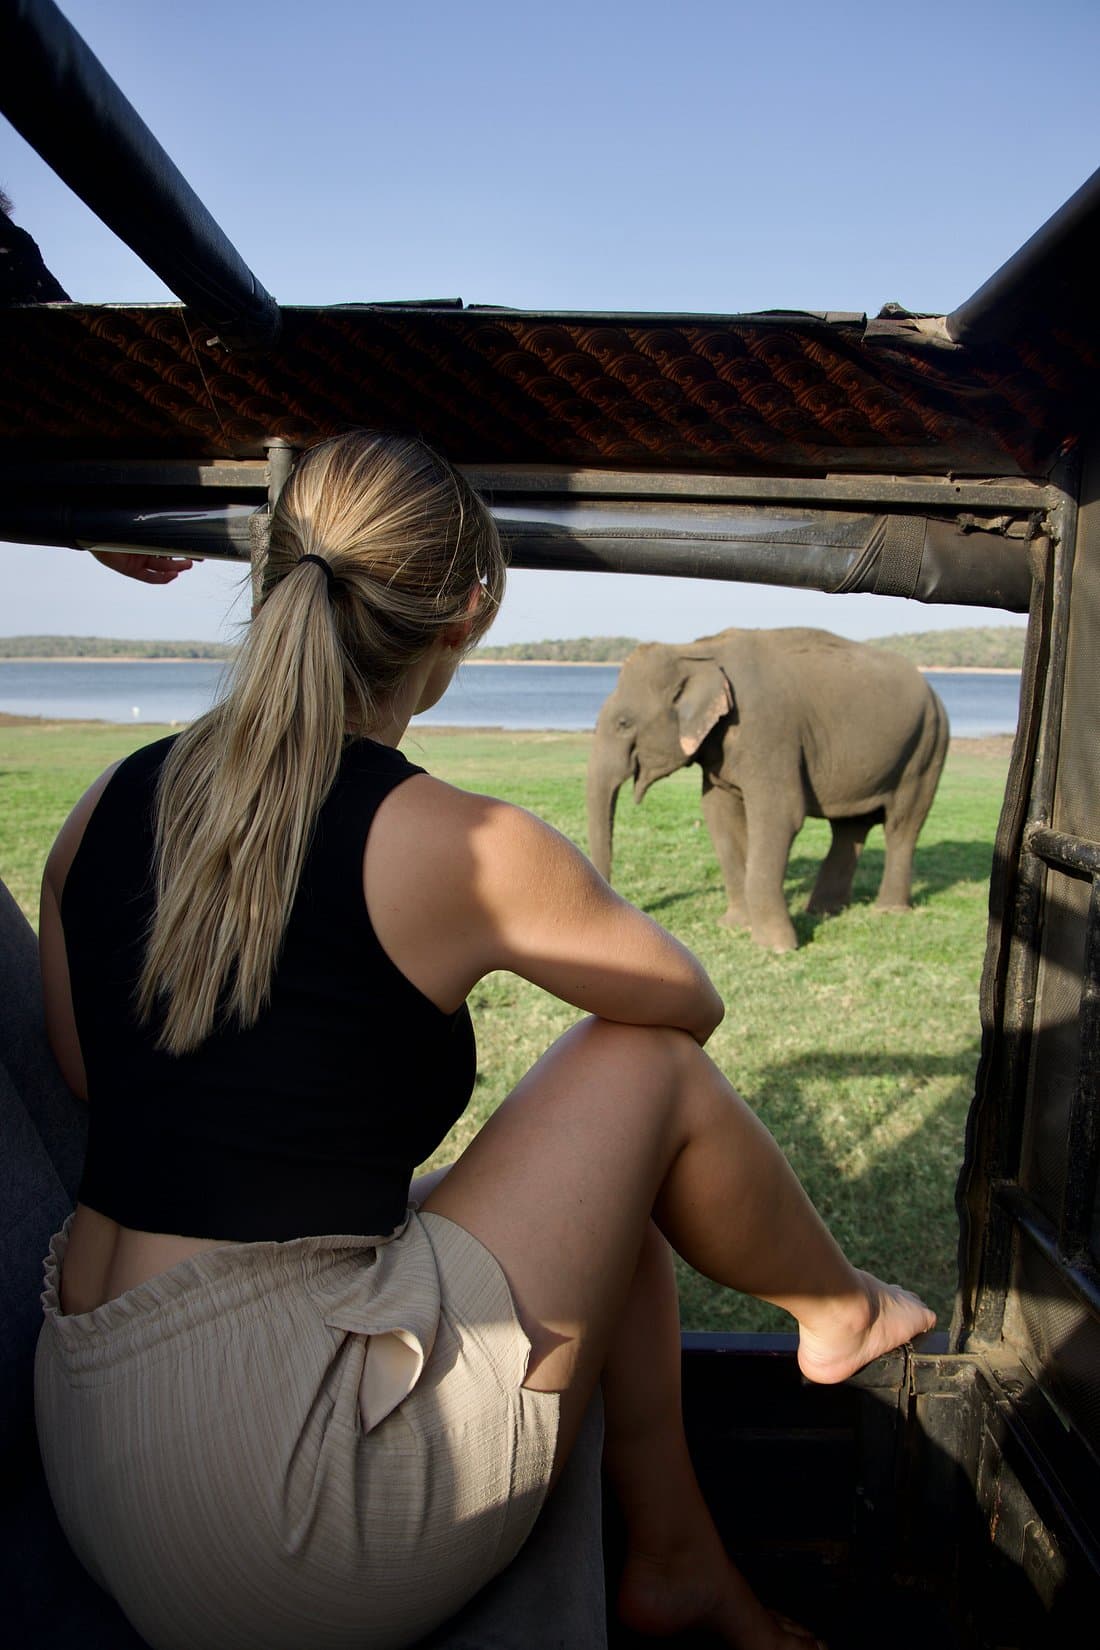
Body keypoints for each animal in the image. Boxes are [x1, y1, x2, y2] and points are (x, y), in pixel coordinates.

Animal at [587, 627, 949, 952]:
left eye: (623, 723)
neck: (696, 650)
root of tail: (933, 691)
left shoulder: (767, 729)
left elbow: (780, 815)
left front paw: (777, 947)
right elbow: (719, 814)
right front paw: (734, 926)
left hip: (927, 748)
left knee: (902, 826)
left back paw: (888, 910)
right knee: (850, 827)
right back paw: (822, 911)